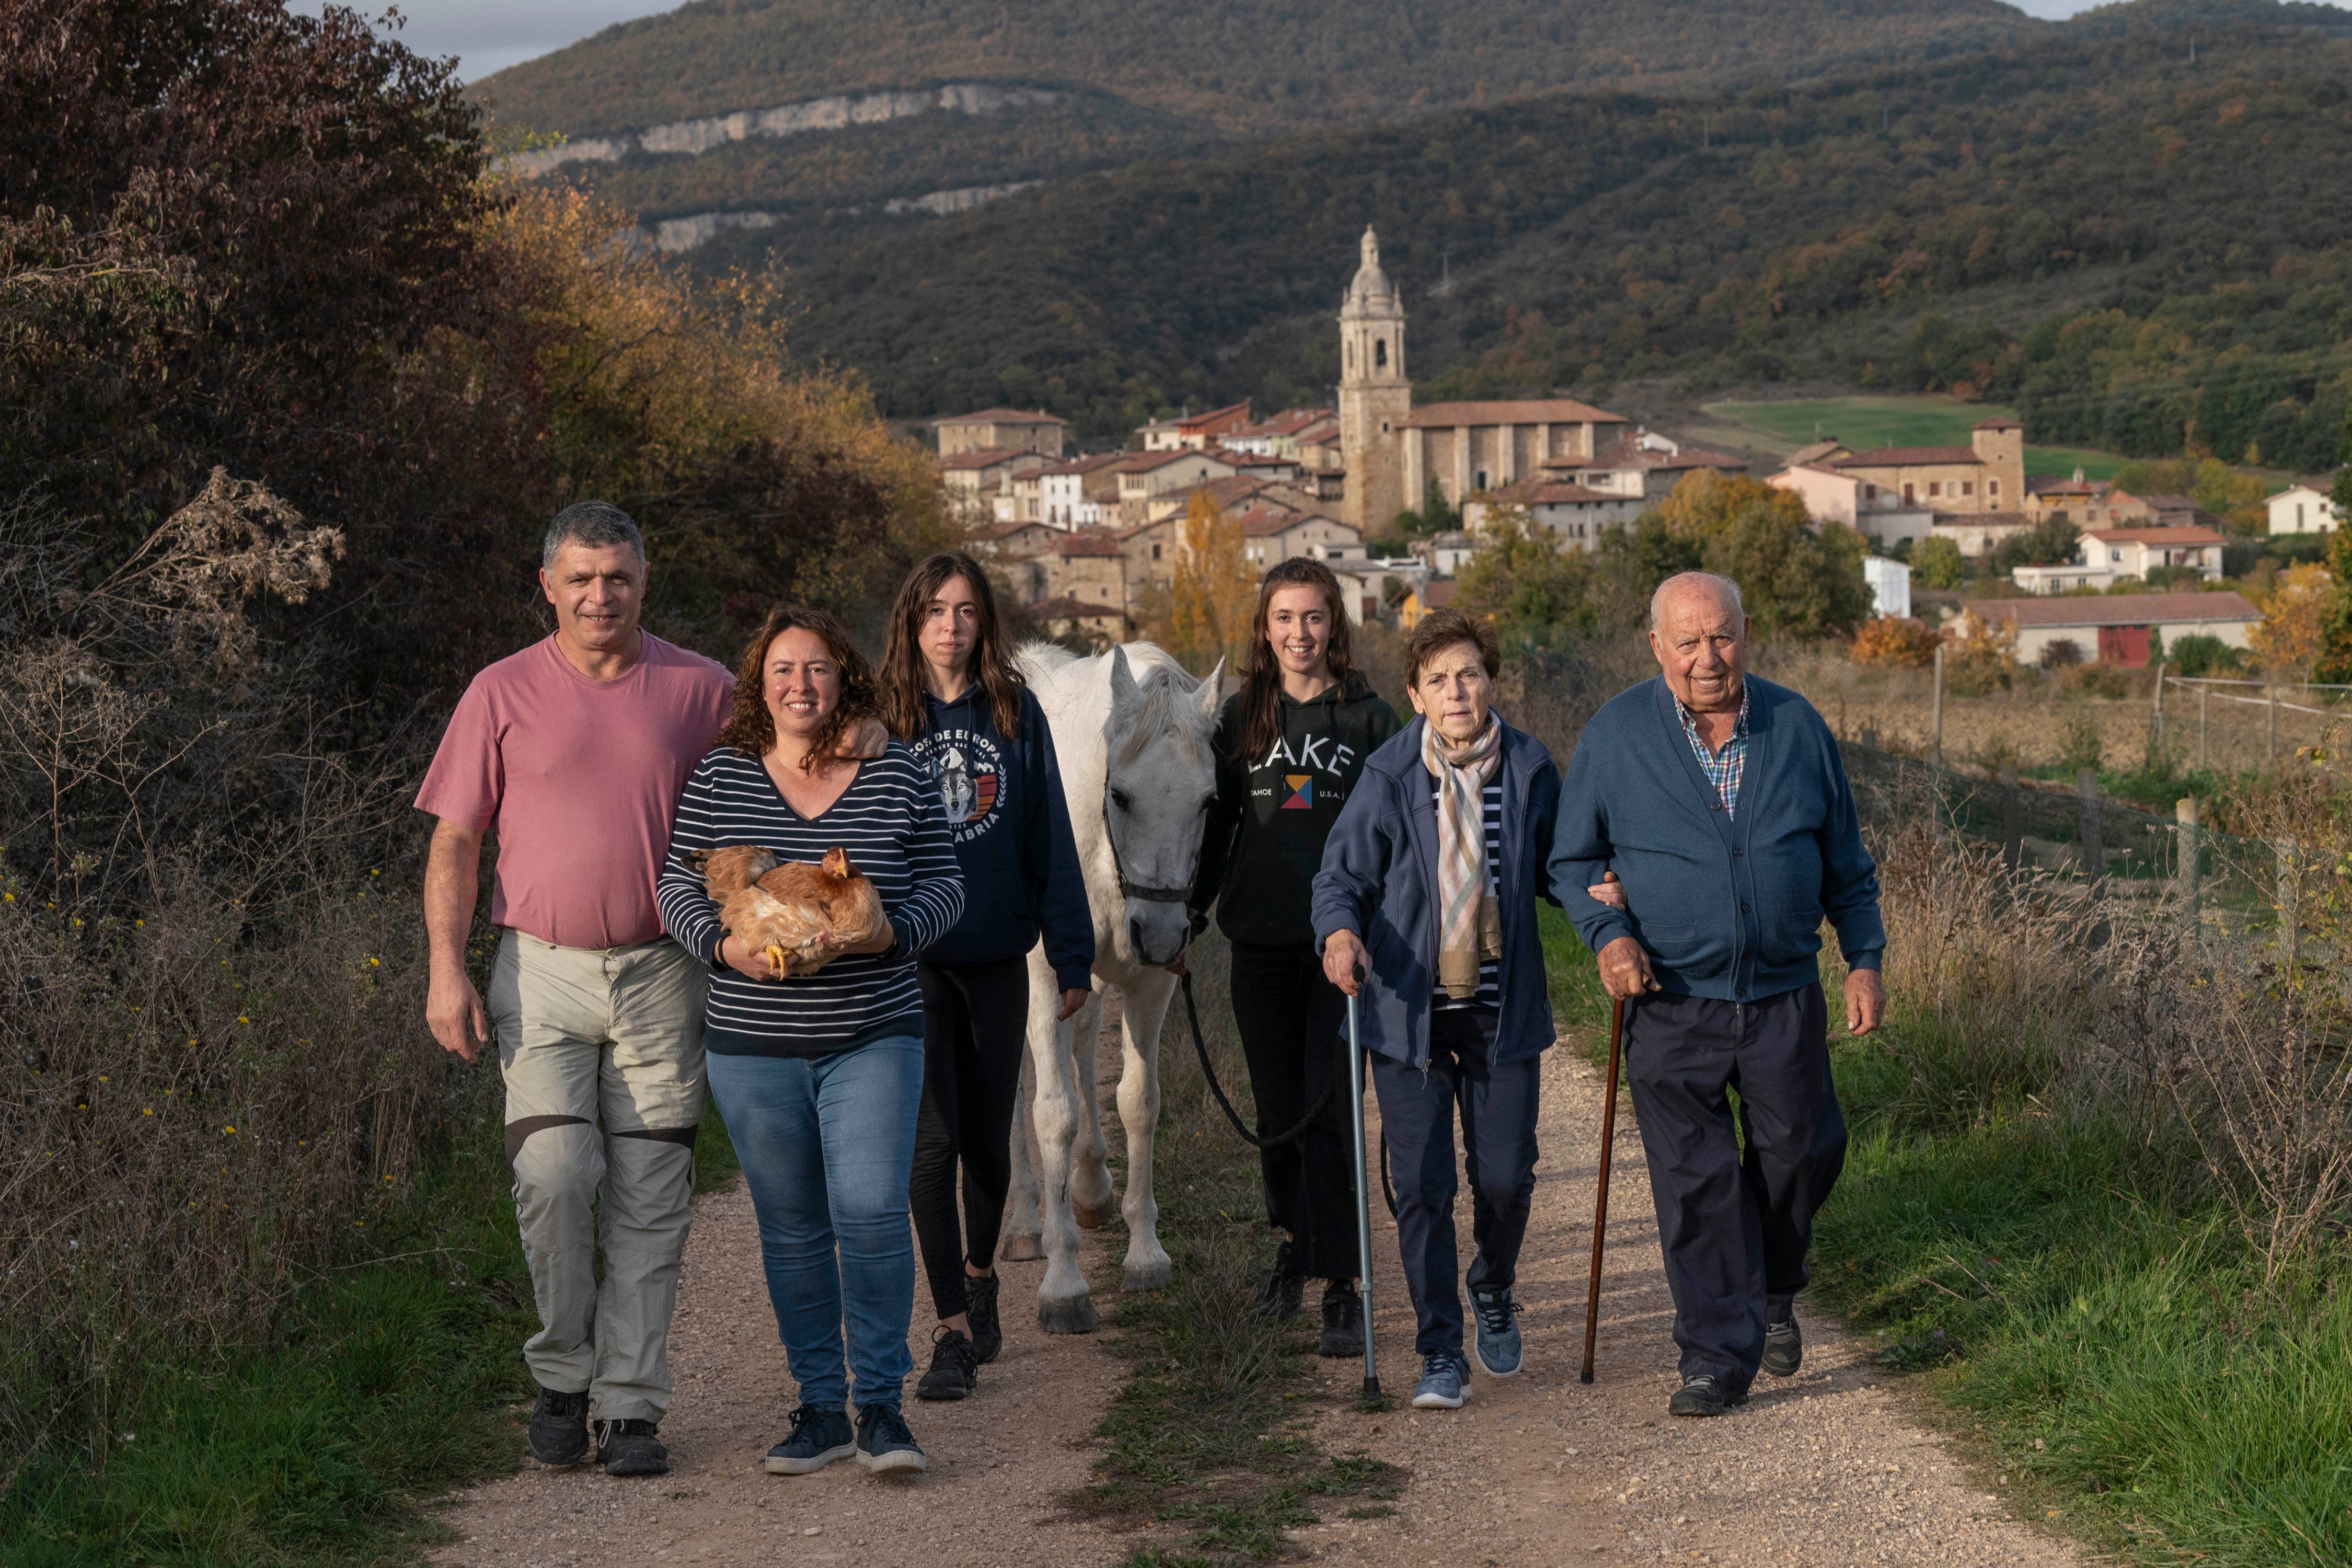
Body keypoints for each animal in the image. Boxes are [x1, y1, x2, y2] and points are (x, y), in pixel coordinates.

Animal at [997, 644, 1223, 1335]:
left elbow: (1138, 1101)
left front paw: (1145, 1255)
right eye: (1120, 796)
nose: (1161, 931)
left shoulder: (1149, 983)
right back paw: (1026, 1224)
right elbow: (1052, 1112)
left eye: (1208, 802)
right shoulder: (1043, 979)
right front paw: (1063, 1284)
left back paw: (1091, 1189)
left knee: (1083, 1046)